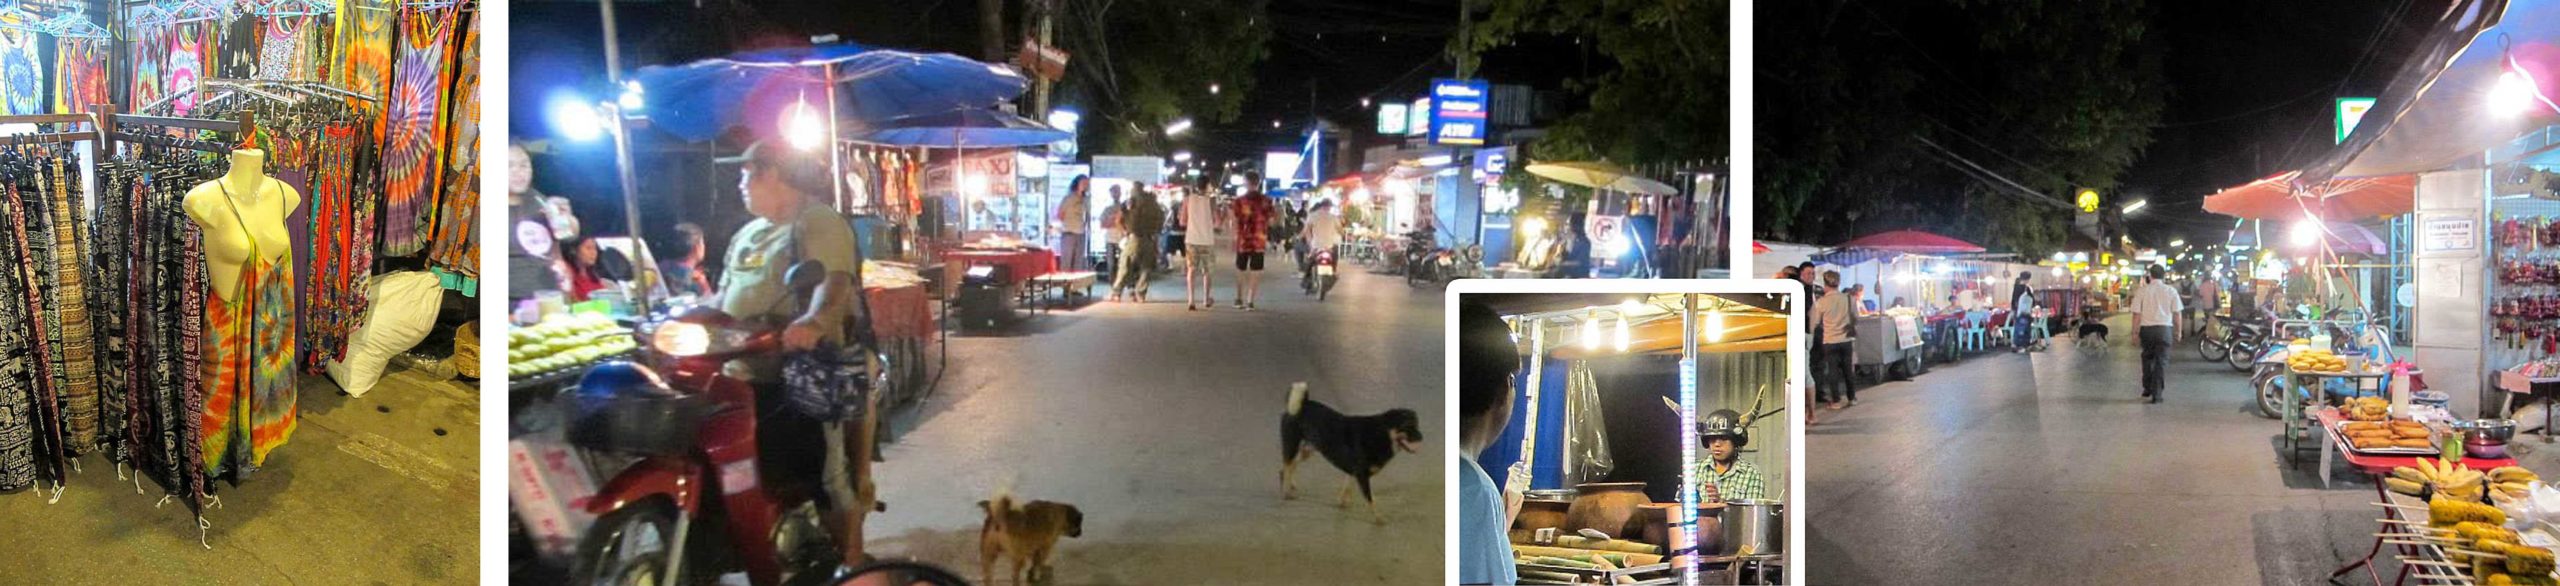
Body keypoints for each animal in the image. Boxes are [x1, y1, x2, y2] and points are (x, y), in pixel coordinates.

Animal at [1274, 381, 1423, 524]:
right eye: (1406, 426)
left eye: (1417, 424)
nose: (1422, 437)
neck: (1382, 434)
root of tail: (1302, 404)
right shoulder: (1362, 475)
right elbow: (1371, 500)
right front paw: (1379, 519)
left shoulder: (1353, 471)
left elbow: (1347, 488)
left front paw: (1342, 502)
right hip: (1292, 446)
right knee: (1287, 465)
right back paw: (1285, 492)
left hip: (1309, 449)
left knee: (1288, 467)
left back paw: (1290, 484)